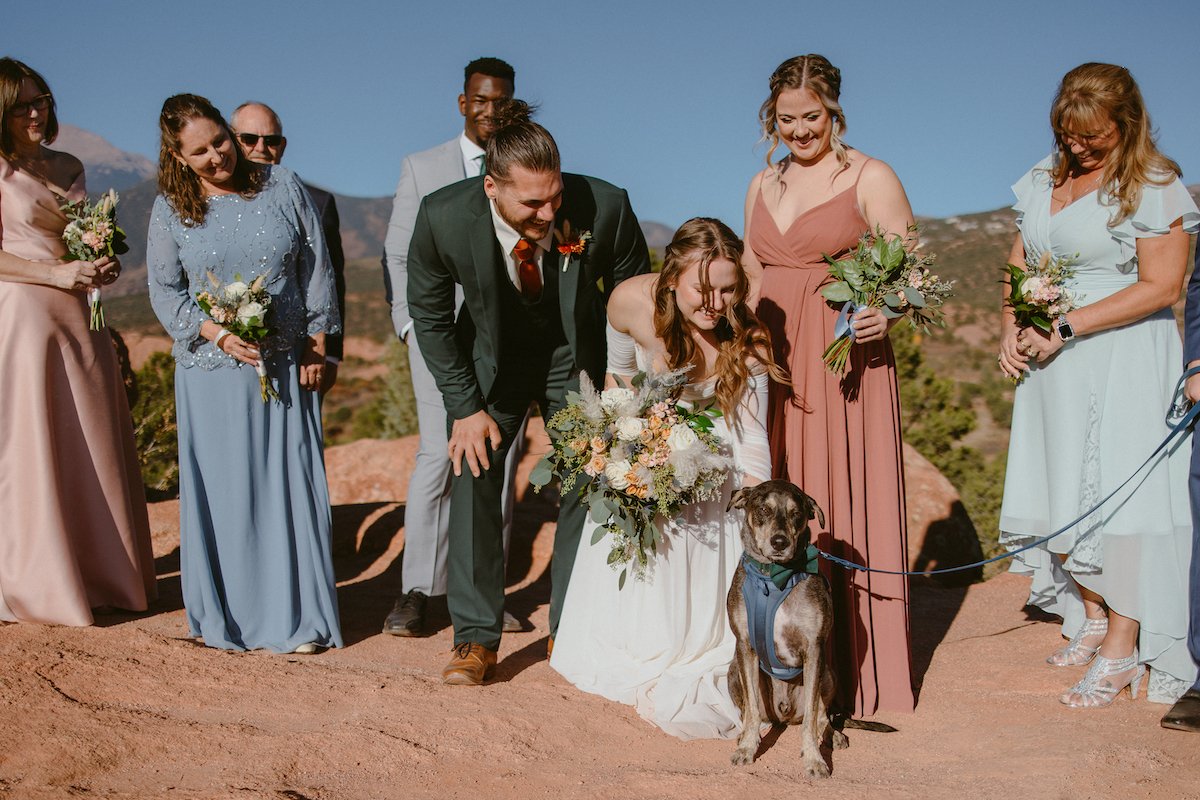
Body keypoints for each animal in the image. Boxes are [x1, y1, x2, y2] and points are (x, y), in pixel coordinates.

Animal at [720, 482, 844, 777]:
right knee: (748, 710)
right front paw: (747, 748)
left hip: (828, 673)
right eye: (763, 509)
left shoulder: (814, 649)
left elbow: (812, 715)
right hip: (732, 670)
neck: (774, 576)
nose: (780, 542)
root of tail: (784, 714)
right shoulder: (745, 645)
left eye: (797, 514)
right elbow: (752, 709)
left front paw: (814, 760)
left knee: (822, 714)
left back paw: (833, 735)